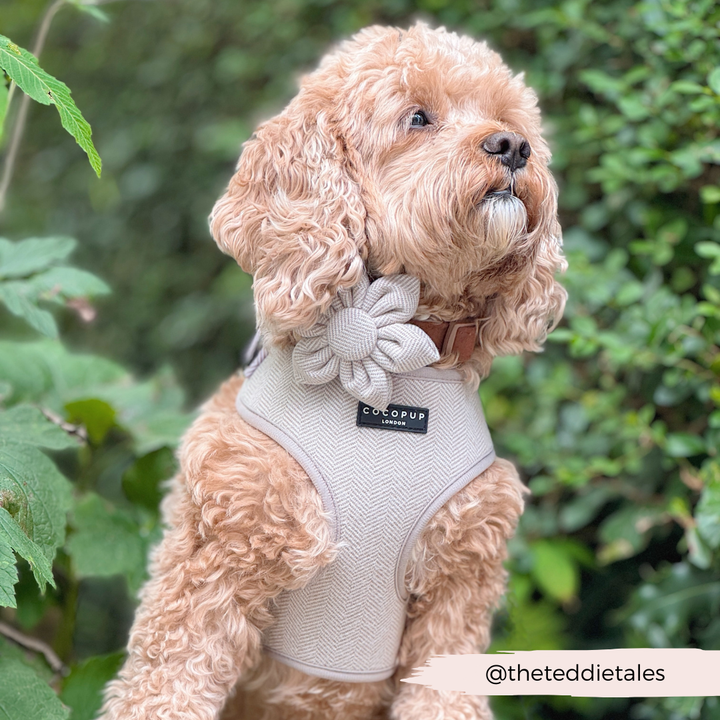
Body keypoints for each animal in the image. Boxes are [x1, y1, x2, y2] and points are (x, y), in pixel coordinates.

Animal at [101, 21, 564, 720]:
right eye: (418, 117)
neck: (394, 352)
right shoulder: (215, 563)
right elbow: (165, 684)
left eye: (507, 119)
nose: (513, 146)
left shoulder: (455, 593)